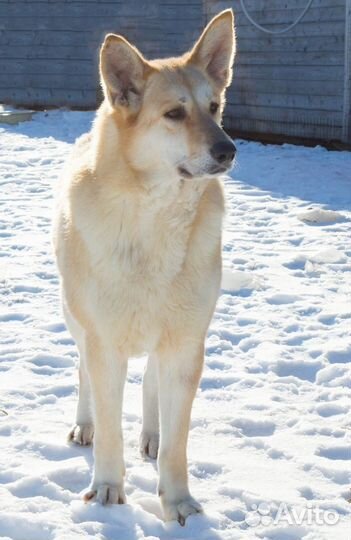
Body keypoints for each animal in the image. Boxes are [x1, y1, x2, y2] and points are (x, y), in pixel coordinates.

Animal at [53, 7, 236, 524]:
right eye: (175, 114)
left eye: (214, 107)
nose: (228, 150)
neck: (156, 218)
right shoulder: (103, 342)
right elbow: (110, 425)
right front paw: (108, 490)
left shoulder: (186, 345)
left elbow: (178, 442)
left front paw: (178, 502)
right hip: (77, 322)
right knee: (83, 375)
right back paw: (84, 426)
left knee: (152, 383)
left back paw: (151, 436)